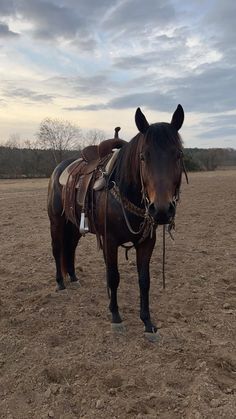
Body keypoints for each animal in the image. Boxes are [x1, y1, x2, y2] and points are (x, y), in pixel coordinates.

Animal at [47, 105, 185, 342]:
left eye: (178, 155)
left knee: (70, 248)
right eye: (143, 157)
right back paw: (61, 284)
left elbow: (144, 280)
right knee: (57, 250)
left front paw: (147, 323)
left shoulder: (147, 243)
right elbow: (113, 277)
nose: (161, 210)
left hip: (74, 226)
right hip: (56, 221)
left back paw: (73, 277)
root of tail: (59, 169)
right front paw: (116, 317)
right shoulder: (109, 241)